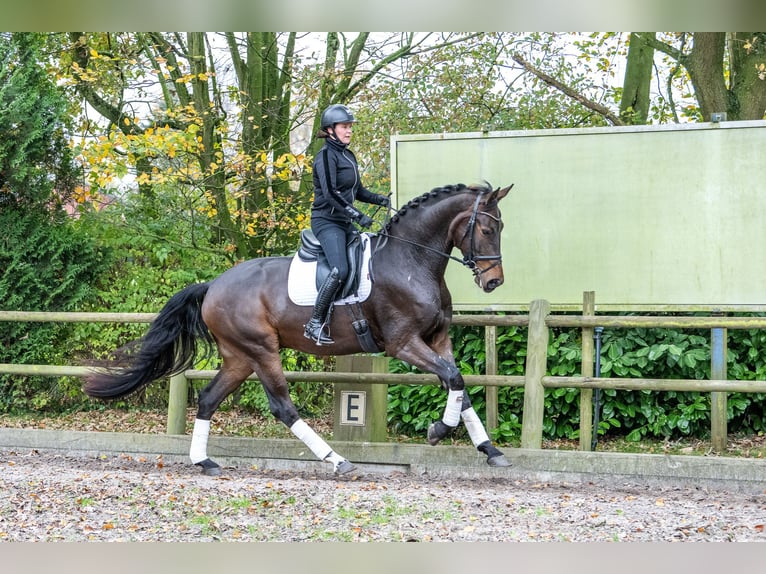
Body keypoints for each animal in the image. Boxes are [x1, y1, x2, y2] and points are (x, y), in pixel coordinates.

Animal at [84, 183, 516, 476]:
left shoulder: (437, 339)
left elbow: (460, 385)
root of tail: (214, 286)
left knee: (208, 400)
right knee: (282, 406)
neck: (410, 260)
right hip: (262, 350)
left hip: (240, 357)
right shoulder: (404, 344)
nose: (494, 282)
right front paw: (438, 430)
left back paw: (204, 461)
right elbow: (453, 379)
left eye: (501, 228)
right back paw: (337, 460)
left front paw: (490, 450)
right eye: (486, 230)